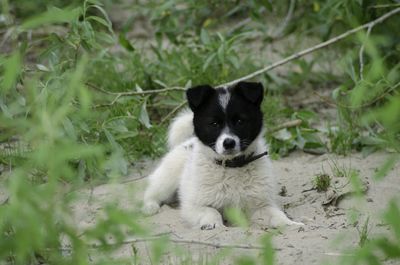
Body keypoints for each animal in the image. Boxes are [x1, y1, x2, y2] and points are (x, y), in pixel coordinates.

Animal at [142, 81, 302, 229]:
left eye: (240, 121)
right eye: (213, 123)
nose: (229, 143)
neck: (232, 166)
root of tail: (187, 142)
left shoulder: (262, 204)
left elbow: (276, 214)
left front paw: (291, 223)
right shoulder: (193, 206)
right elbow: (212, 211)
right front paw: (212, 224)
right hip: (168, 178)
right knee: (152, 191)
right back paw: (149, 206)